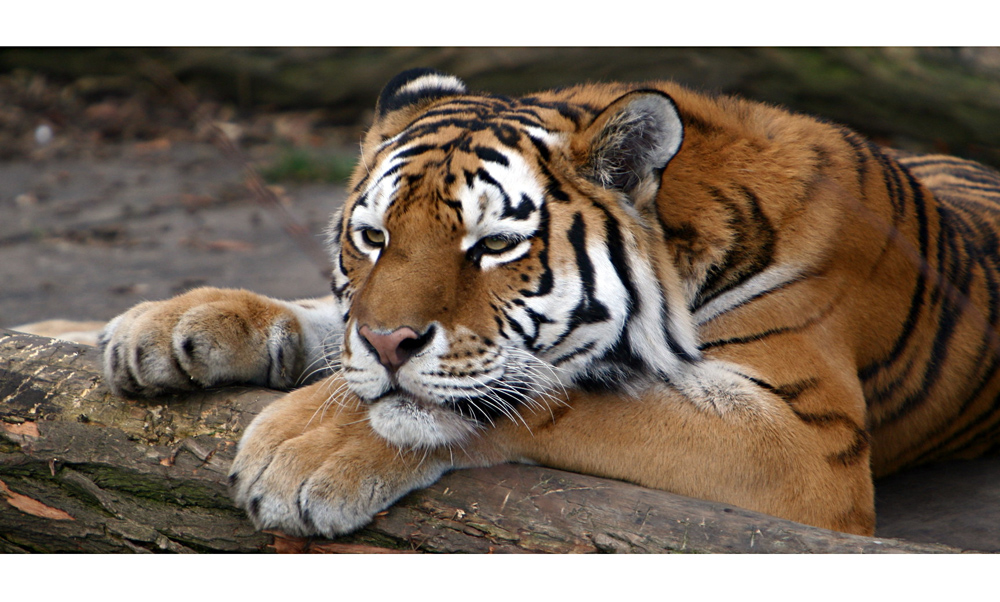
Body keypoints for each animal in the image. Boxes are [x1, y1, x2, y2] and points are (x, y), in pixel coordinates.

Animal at [97, 67, 1000, 536]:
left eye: (495, 246)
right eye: (374, 238)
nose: (391, 343)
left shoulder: (804, 439)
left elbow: (554, 397)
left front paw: (305, 451)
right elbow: (338, 331)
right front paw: (169, 327)